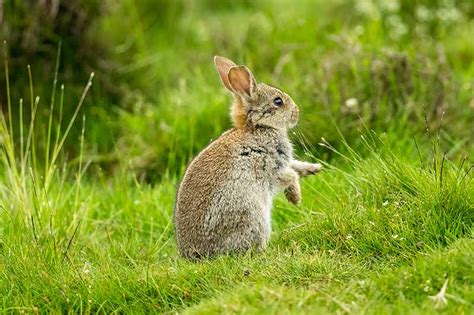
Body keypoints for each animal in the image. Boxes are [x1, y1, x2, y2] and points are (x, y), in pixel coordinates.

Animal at [174, 56, 322, 260]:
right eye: (278, 101)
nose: (296, 113)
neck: (259, 127)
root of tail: (197, 255)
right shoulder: (270, 166)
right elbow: (290, 176)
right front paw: (295, 198)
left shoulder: (284, 162)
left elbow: (295, 166)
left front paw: (314, 168)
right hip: (251, 215)